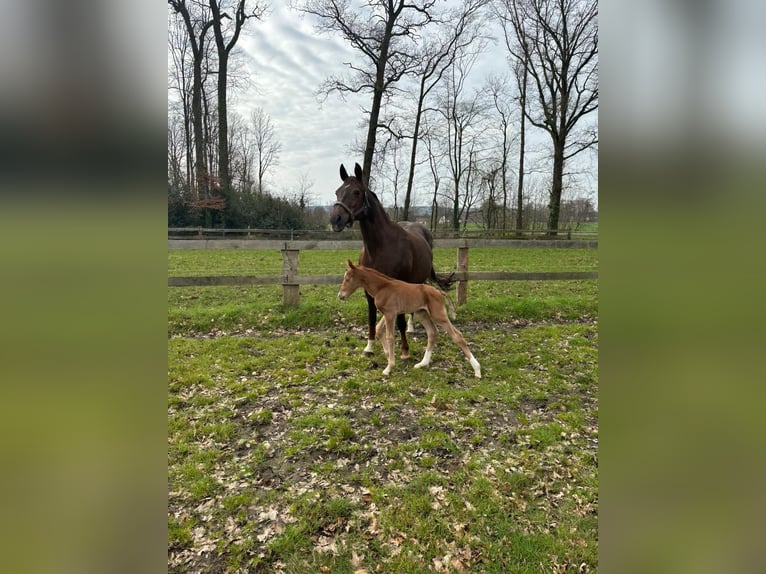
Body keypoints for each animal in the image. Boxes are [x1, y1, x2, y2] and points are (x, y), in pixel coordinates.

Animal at [328, 163, 450, 360]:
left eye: (356, 192)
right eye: (337, 191)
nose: (335, 220)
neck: (379, 247)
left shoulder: (397, 287)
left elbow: (399, 321)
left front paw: (405, 351)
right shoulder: (368, 290)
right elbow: (371, 318)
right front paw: (369, 347)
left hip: (418, 280)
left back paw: (410, 328)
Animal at [340, 262, 484, 380]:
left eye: (348, 278)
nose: (340, 295)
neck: (382, 287)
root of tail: (438, 291)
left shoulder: (390, 314)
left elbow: (389, 337)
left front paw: (389, 367)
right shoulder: (388, 313)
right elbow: (378, 329)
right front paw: (388, 356)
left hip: (439, 315)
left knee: (457, 335)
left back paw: (477, 370)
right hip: (422, 314)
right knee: (432, 333)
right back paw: (423, 363)